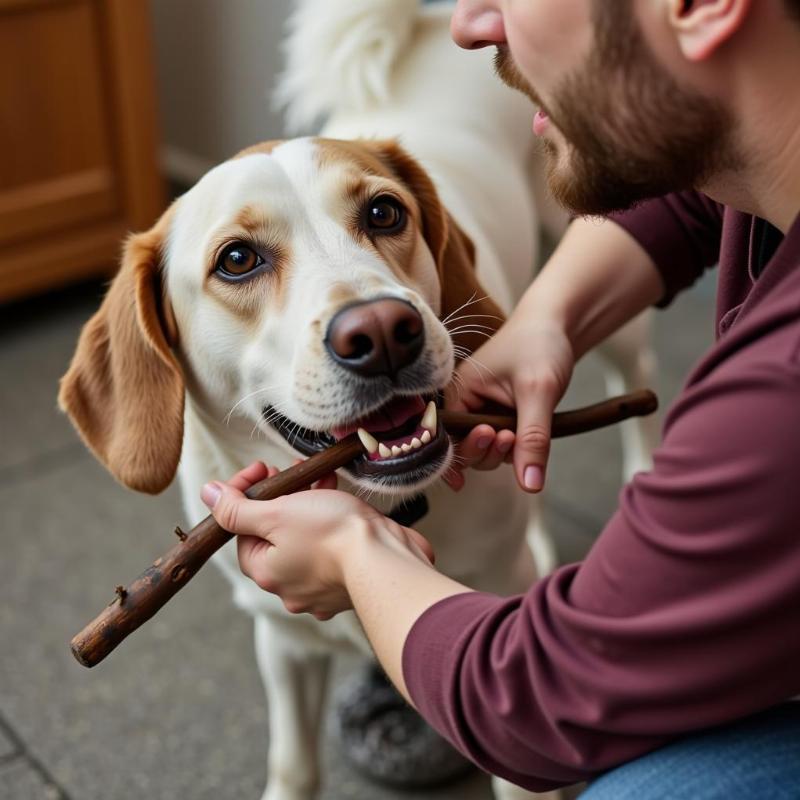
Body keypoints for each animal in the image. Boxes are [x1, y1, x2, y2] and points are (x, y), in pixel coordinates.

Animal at [59, 3, 652, 796]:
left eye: (383, 213)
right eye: (237, 259)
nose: (382, 333)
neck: (378, 505)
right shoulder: (282, 642)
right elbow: (293, 763)